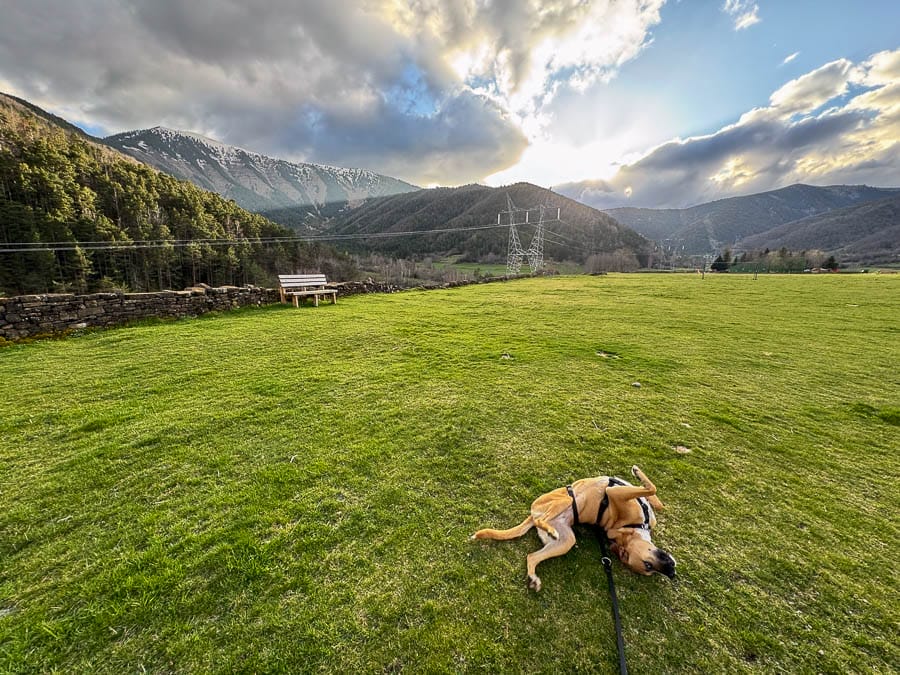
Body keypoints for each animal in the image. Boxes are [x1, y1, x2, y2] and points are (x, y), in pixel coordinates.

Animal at [472, 465, 676, 591]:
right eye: (648, 565)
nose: (672, 573)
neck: (632, 527)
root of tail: (532, 514)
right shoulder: (615, 492)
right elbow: (653, 491)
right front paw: (637, 472)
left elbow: (655, 498)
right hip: (566, 500)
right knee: (543, 520)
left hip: (565, 541)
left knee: (532, 555)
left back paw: (534, 576)